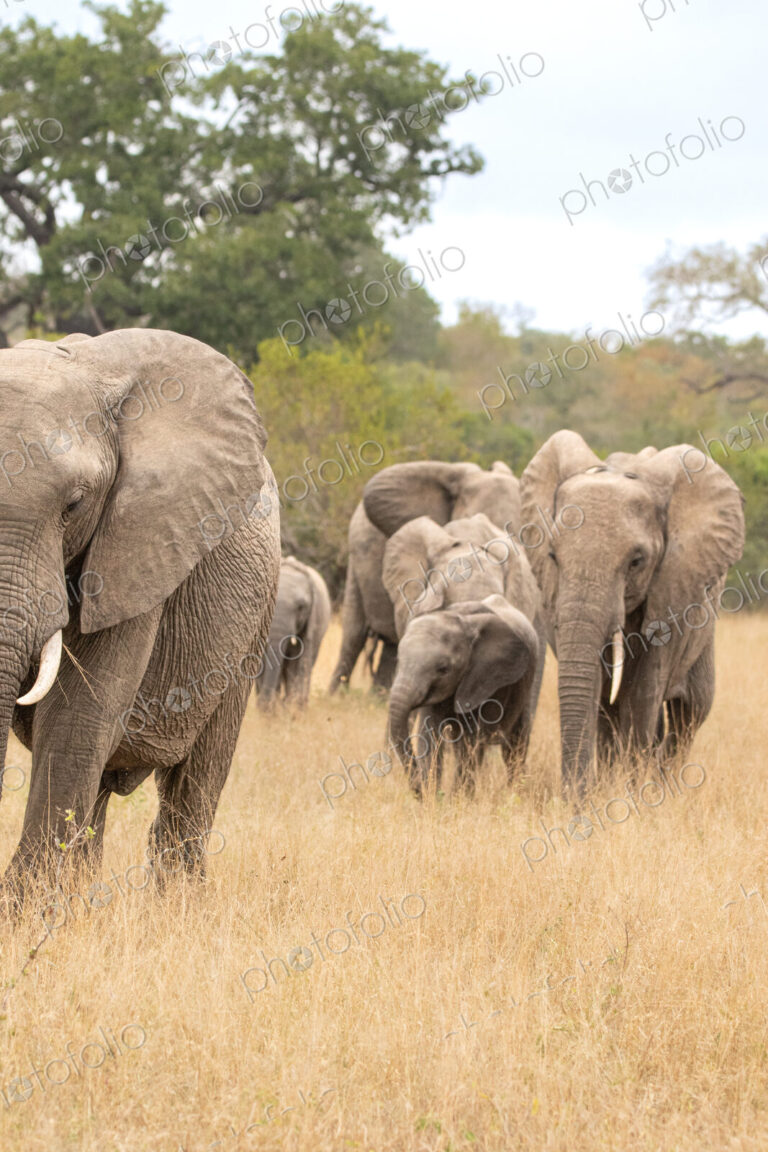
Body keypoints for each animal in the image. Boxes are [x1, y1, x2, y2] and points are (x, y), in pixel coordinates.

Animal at [0, 329, 281, 895]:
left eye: (73, 505)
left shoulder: (142, 546)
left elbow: (76, 716)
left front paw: (24, 909)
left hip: (255, 619)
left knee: (196, 779)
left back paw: (178, 903)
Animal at [382, 512, 545, 794]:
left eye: (443, 668)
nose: (418, 791)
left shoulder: (487, 679)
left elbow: (469, 743)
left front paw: (457, 799)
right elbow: (429, 736)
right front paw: (434, 796)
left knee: (514, 745)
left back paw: (515, 792)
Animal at [520, 430, 745, 794]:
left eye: (636, 561)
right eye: (552, 556)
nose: (572, 799)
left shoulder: (673, 587)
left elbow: (643, 694)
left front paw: (633, 795)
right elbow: (600, 693)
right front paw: (606, 791)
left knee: (692, 709)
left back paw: (667, 783)